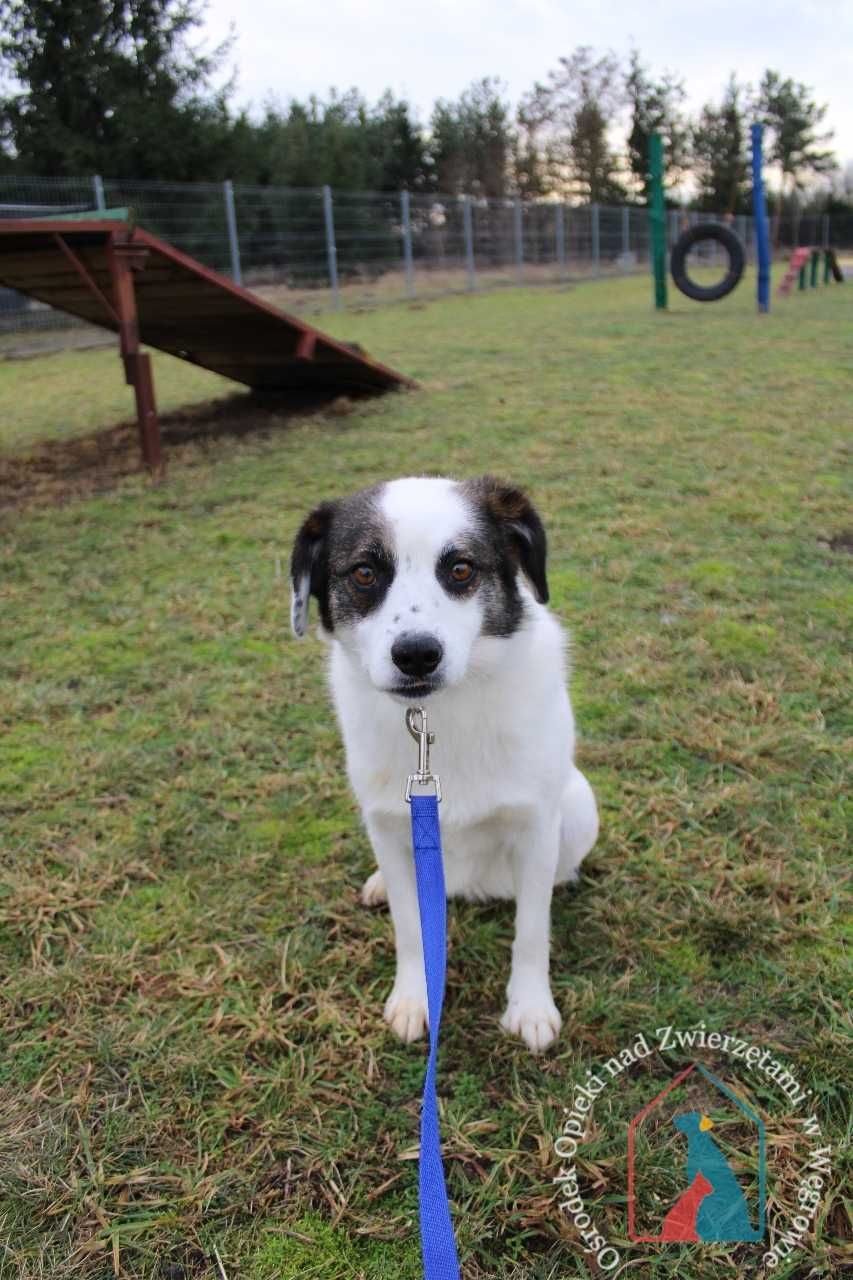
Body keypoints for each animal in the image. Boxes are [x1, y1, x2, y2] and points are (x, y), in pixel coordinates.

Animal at [292, 476, 596, 1054]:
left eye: (460, 569)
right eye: (364, 573)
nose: (416, 655)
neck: (437, 715)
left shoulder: (536, 825)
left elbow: (531, 931)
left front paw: (530, 1007)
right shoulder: (391, 828)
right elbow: (411, 930)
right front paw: (416, 1000)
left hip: (579, 804)